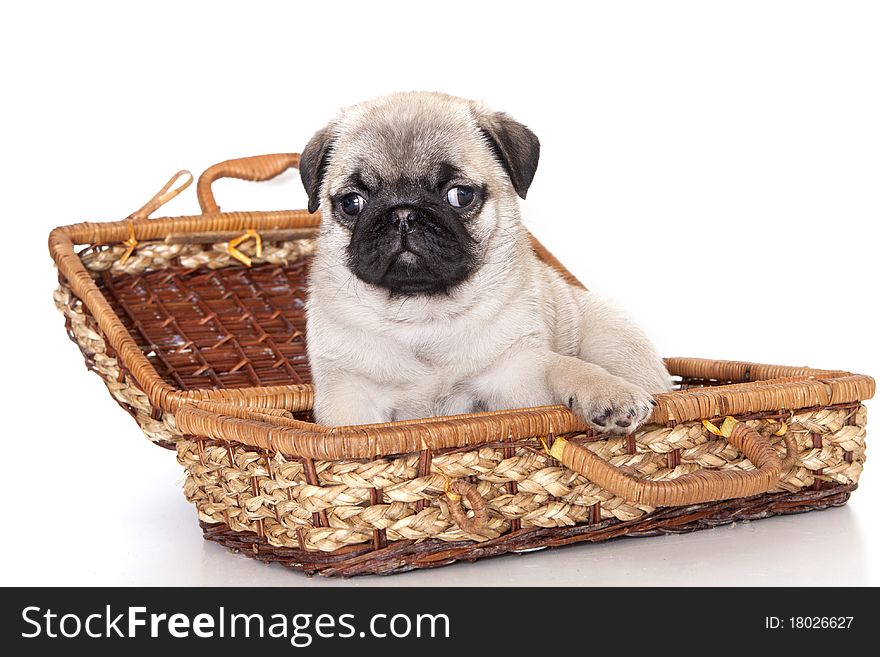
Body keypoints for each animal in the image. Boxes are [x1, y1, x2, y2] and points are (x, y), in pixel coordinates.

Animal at [300, 92, 672, 430]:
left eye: (460, 196)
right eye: (352, 203)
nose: (403, 214)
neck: (423, 316)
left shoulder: (518, 373)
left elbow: (561, 366)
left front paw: (608, 392)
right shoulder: (351, 394)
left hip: (614, 336)